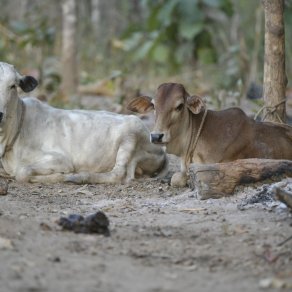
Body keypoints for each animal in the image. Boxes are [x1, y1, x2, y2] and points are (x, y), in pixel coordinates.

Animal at [0, 62, 168, 184]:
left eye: (13, 85)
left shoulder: (60, 160)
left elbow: (22, 172)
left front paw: (60, 176)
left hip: (130, 136)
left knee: (118, 174)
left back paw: (77, 177)